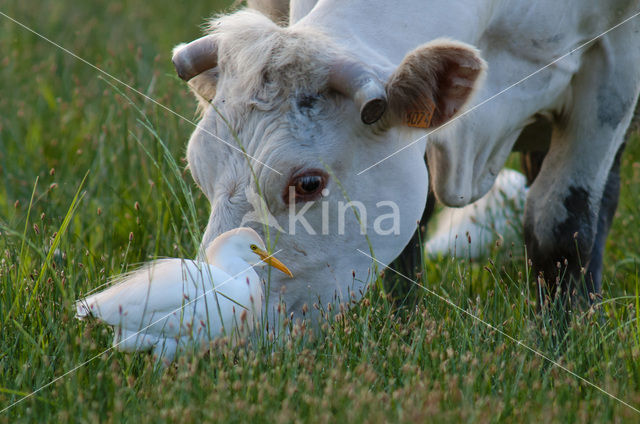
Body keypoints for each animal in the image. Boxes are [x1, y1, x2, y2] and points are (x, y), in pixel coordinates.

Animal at [172, 0, 640, 320]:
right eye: (197, 167)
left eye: (307, 183)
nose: (211, 305)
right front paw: (406, 325)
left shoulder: (613, 66)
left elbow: (559, 231)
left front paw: (557, 338)